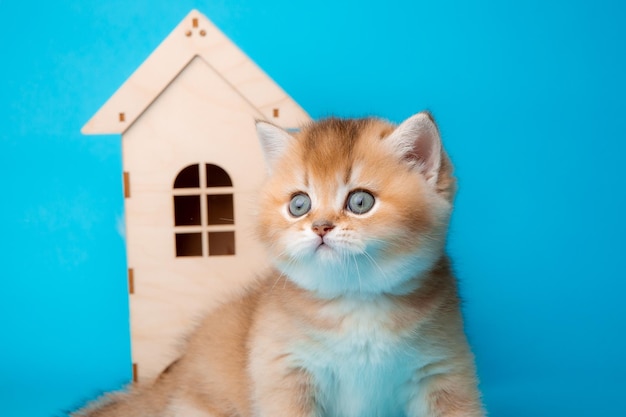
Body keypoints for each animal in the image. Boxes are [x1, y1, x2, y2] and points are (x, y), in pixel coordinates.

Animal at [73, 111, 482, 416]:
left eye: (360, 202)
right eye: (299, 204)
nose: (320, 227)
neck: (356, 304)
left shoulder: (443, 373)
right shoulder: (285, 377)